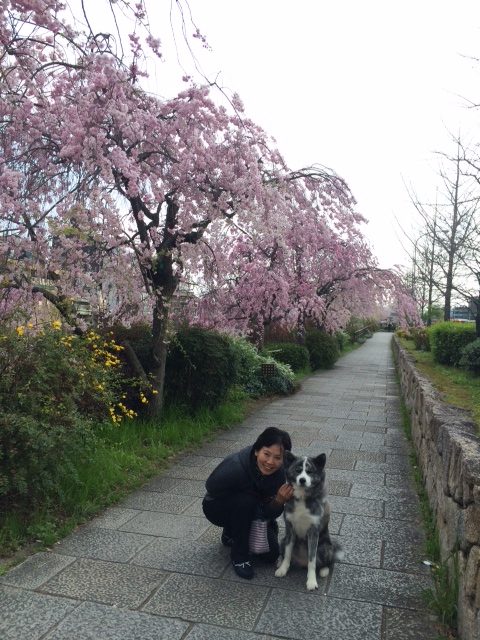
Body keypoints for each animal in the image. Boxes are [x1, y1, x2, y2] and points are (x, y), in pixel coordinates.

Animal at [274, 450, 342, 592]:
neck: (302, 498)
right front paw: (283, 569)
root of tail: (301, 562)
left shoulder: (313, 533)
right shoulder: (290, 530)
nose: (302, 480)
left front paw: (311, 581)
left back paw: (324, 570)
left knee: (328, 562)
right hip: (282, 541)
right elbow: (288, 554)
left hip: (325, 548)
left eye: (310, 472)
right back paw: (280, 562)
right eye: (298, 470)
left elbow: (312, 560)